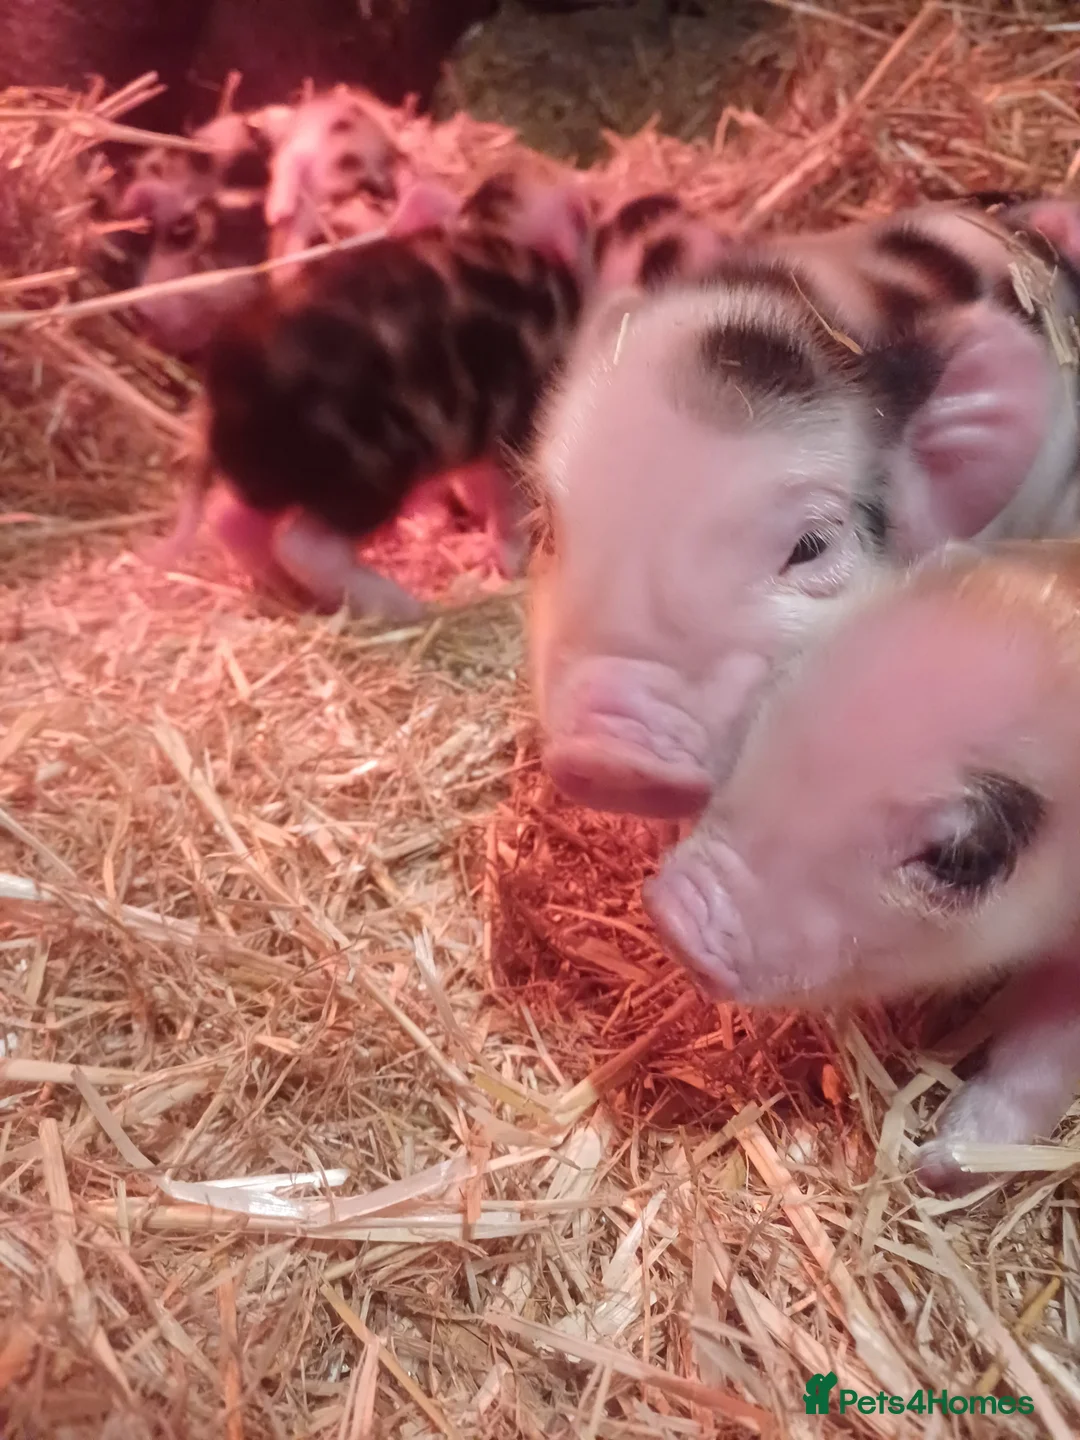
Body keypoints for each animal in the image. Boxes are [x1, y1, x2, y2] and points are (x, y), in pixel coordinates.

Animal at [147, 168, 595, 621]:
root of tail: (220, 399)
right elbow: (511, 502)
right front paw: (512, 564)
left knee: (230, 519)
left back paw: (290, 596)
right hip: (369, 467)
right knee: (305, 546)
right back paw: (408, 608)